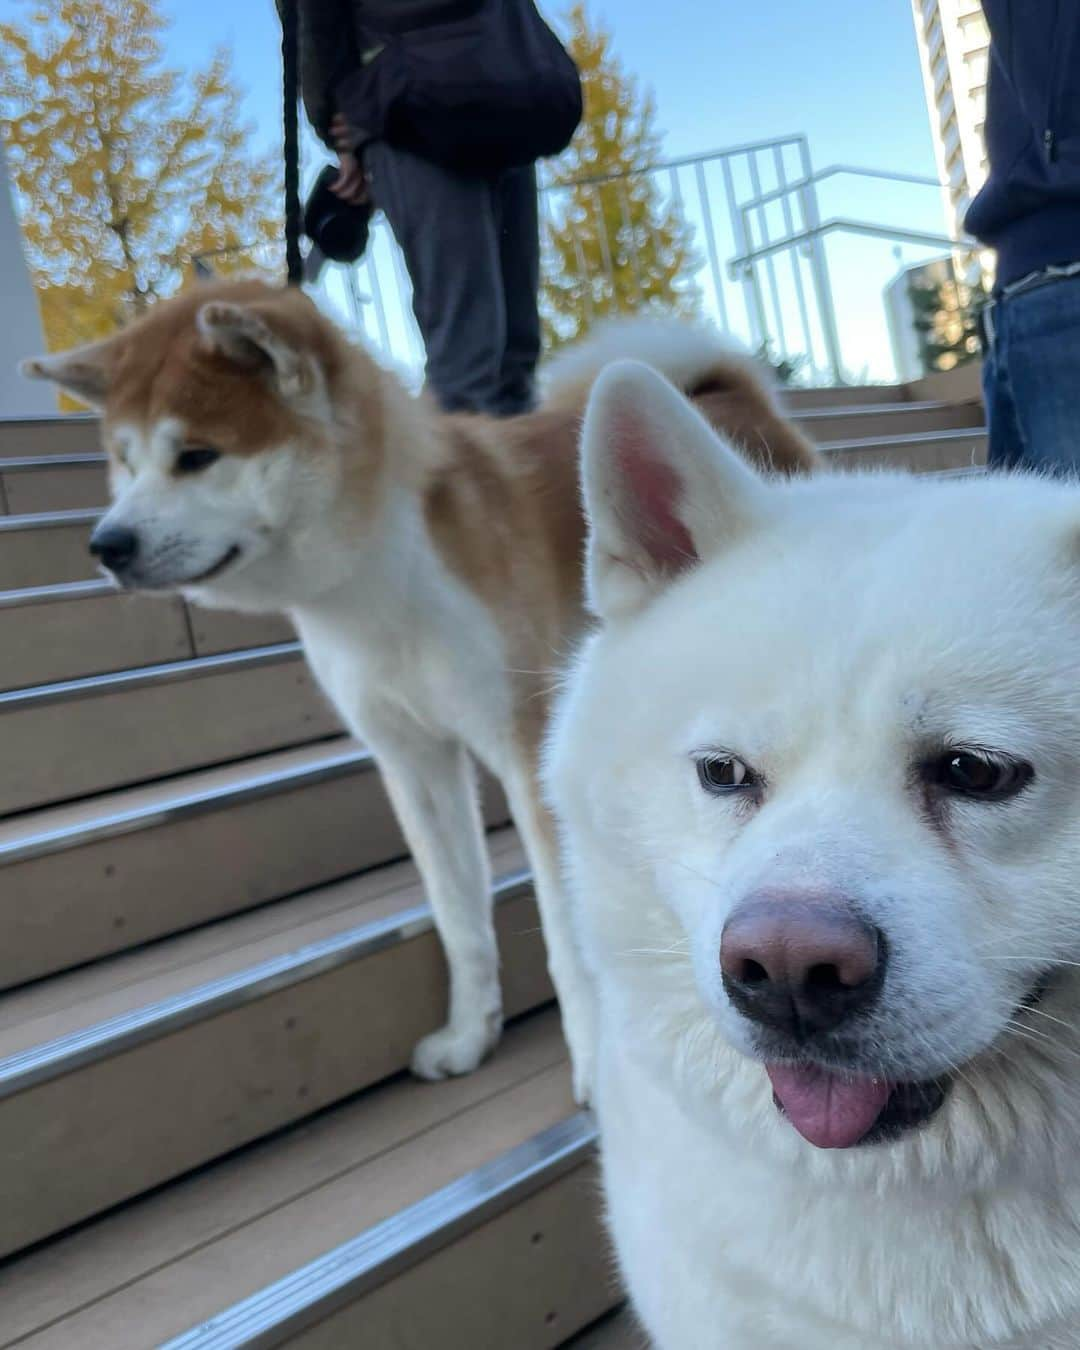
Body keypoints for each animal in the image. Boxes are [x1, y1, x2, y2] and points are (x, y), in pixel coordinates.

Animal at [21, 282, 815, 1096]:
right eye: (123, 461)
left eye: (196, 457)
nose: (106, 545)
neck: (379, 587)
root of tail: (722, 386)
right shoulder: (411, 760)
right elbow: (459, 920)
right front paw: (470, 1034)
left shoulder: (523, 748)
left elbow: (563, 933)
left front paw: (595, 1063)